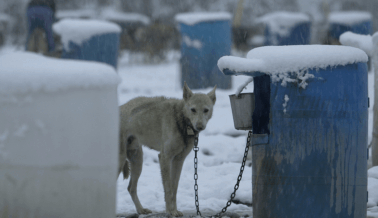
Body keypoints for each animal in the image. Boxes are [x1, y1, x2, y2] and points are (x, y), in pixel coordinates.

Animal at [119, 83, 217, 216]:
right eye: (193, 110)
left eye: (206, 110)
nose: (200, 126)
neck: (181, 120)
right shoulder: (164, 157)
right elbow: (168, 188)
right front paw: (171, 211)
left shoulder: (178, 160)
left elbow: (174, 189)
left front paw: (174, 210)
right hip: (120, 162)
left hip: (138, 162)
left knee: (131, 188)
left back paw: (141, 210)